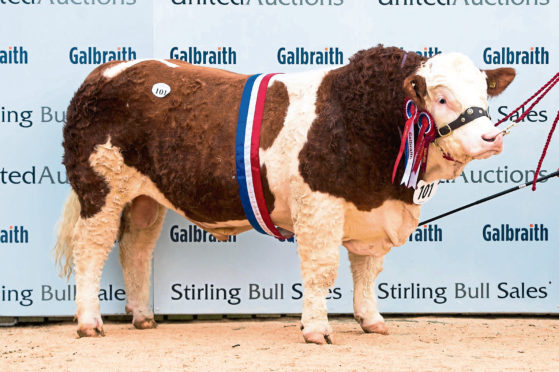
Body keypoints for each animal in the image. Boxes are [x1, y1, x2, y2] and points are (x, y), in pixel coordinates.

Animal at [54, 45, 516, 342]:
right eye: (441, 97)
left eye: (484, 93)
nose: (491, 138)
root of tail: (105, 71)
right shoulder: (319, 202)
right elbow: (323, 269)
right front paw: (317, 329)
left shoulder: (370, 208)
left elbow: (368, 270)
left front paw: (372, 320)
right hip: (101, 188)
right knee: (91, 249)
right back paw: (89, 323)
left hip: (145, 200)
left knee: (135, 248)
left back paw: (144, 318)